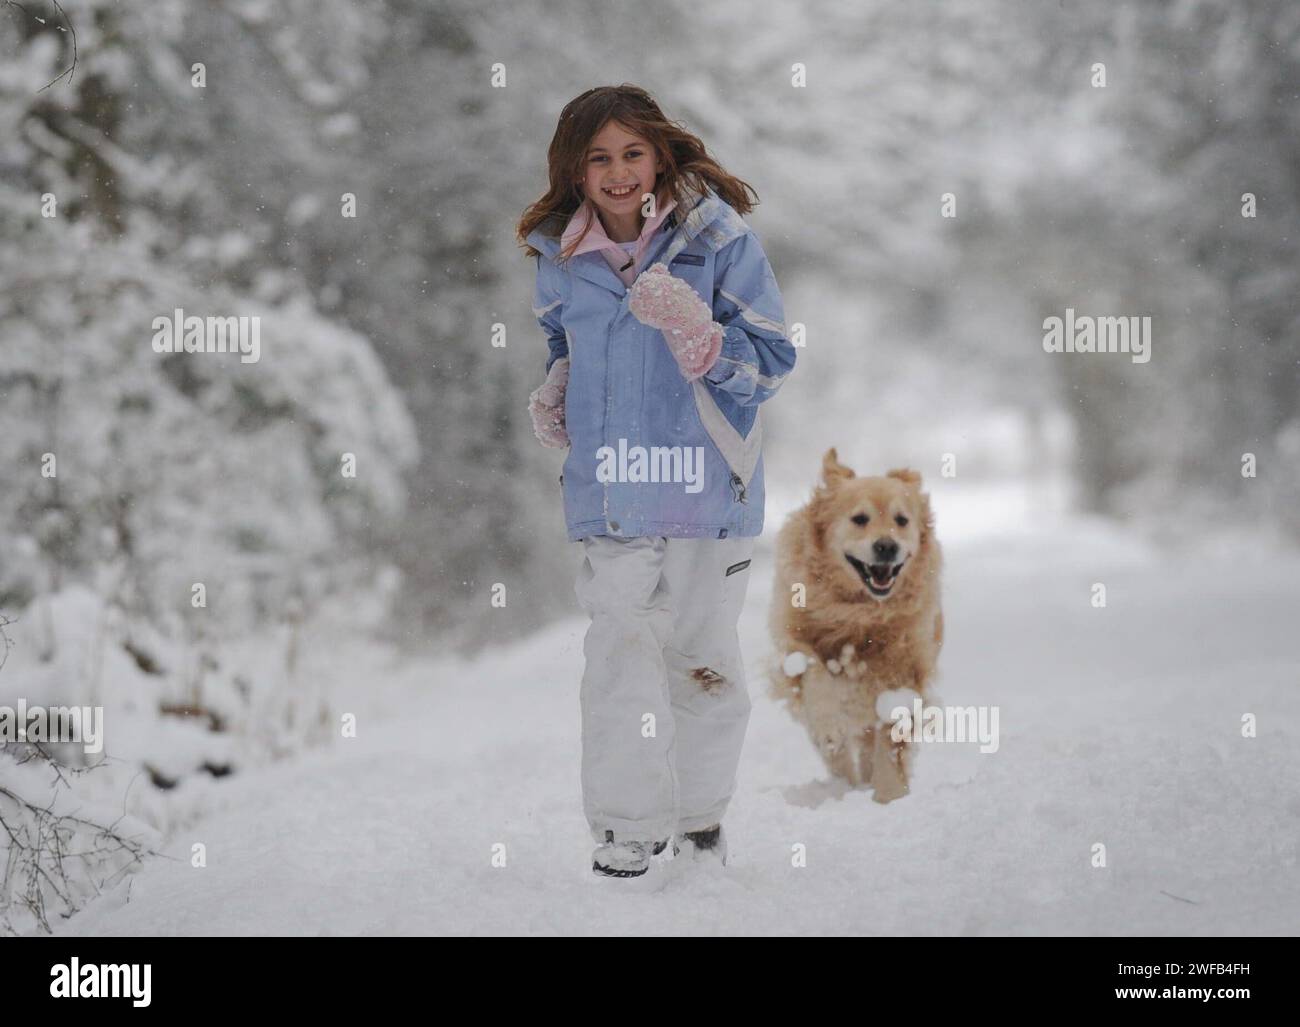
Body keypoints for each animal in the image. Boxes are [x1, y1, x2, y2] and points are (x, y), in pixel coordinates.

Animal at [764, 449, 941, 806]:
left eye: (902, 520)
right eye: (860, 519)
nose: (887, 546)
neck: (860, 615)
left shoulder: (905, 672)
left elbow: (892, 744)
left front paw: (890, 798)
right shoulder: (790, 647)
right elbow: (814, 675)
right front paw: (828, 722)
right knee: (838, 754)